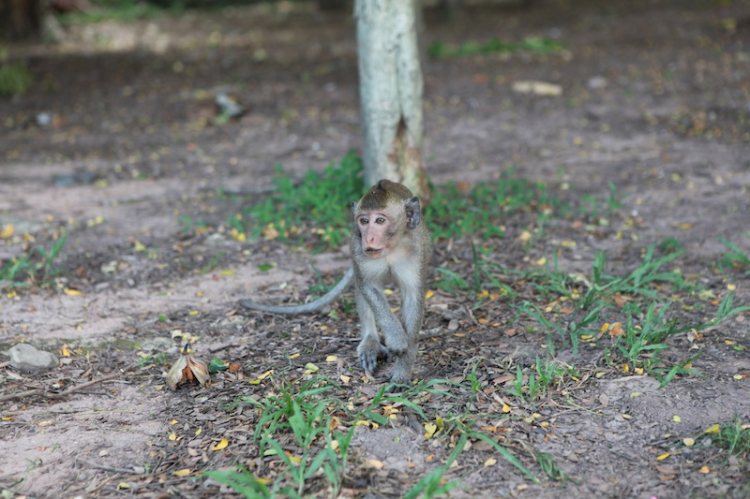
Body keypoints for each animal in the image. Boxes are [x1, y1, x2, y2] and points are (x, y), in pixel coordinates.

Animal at [241, 180, 428, 382]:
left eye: (380, 220)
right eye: (364, 221)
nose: (369, 238)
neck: (390, 247)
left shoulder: (417, 253)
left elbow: (413, 296)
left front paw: (403, 369)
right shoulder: (358, 250)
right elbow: (368, 286)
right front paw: (396, 337)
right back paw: (370, 341)